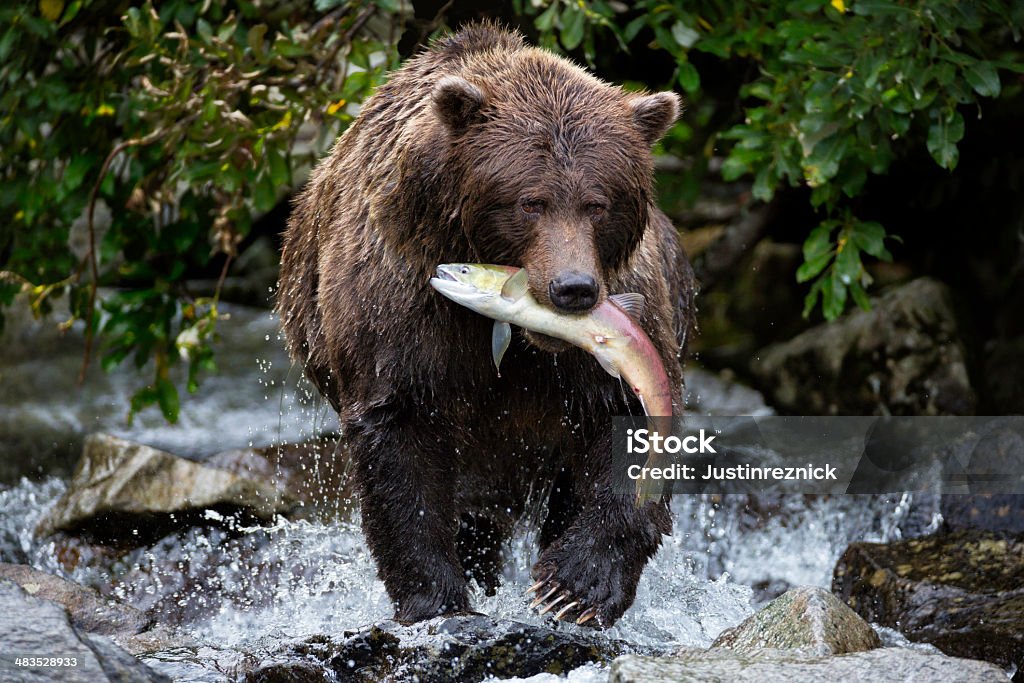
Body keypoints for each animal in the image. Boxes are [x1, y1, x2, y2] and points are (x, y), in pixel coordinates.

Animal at [278, 21, 696, 630]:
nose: (573, 289)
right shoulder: (401, 307)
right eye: (530, 202)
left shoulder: (619, 339)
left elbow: (626, 423)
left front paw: (572, 587)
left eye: (598, 203)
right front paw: (436, 599)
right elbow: (400, 442)